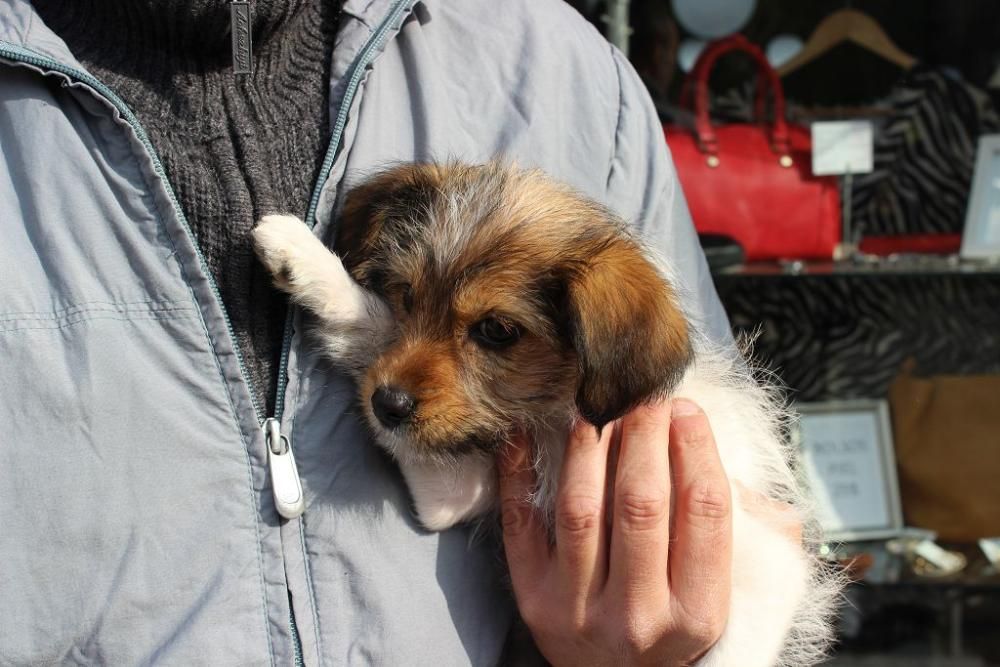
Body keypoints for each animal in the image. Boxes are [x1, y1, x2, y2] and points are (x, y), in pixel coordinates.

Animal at [250, 163, 836, 667]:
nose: (385, 404)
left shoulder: (765, 566)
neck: (553, 418)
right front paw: (305, 259)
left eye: (496, 331)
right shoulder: (453, 493)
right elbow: (370, 326)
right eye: (406, 296)